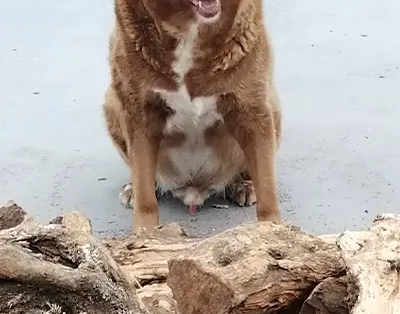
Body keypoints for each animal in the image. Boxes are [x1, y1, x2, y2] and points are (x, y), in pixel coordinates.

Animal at [104, 0, 282, 231]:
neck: (191, 30)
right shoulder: (140, 117)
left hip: (274, 107)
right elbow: (144, 192)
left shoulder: (253, 112)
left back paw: (243, 185)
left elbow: (267, 187)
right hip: (112, 102)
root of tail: (193, 189)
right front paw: (145, 232)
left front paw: (274, 230)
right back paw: (133, 189)